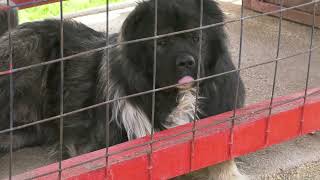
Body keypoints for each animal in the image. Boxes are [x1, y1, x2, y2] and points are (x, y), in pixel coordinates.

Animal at [0, 0, 245, 179]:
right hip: (26, 52)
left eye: (197, 37)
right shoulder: (98, 148)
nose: (186, 62)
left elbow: (223, 159)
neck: (174, 98)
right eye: (161, 43)